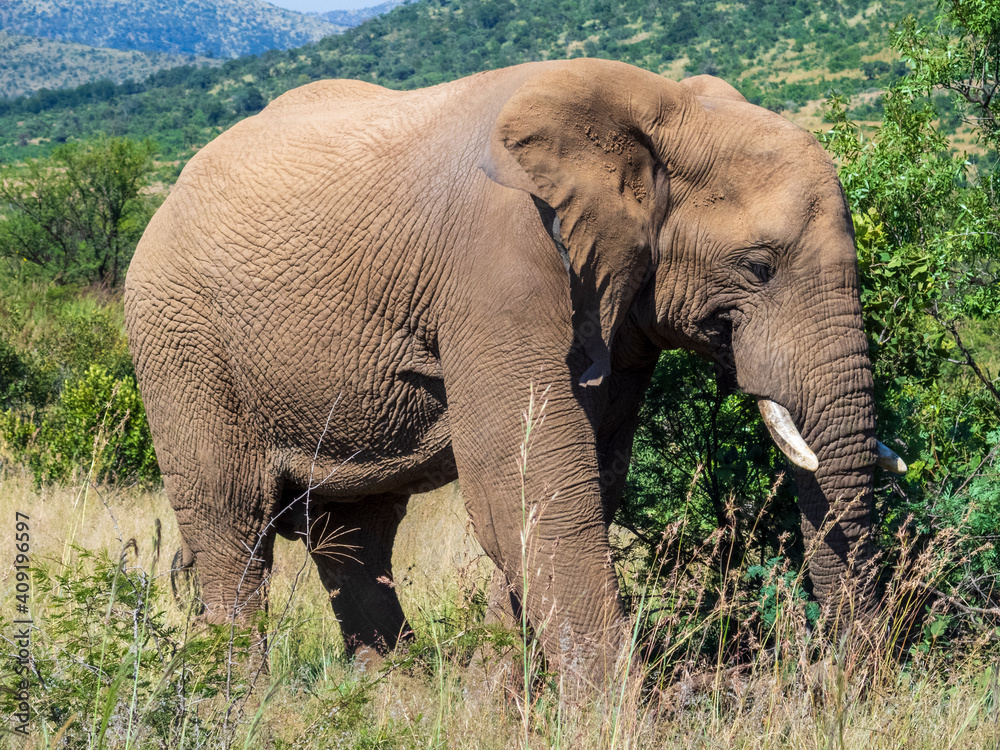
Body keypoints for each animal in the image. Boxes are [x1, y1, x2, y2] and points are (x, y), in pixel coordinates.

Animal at [124, 58, 905, 684]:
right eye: (759, 267)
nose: (838, 685)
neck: (663, 110)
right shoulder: (498, 268)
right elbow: (528, 488)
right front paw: (611, 717)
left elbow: (571, 486)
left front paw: (508, 690)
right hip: (179, 341)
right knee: (233, 527)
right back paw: (242, 700)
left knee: (353, 535)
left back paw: (394, 696)